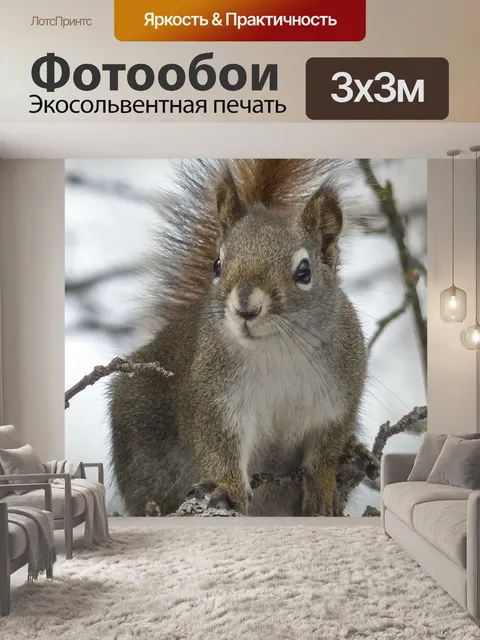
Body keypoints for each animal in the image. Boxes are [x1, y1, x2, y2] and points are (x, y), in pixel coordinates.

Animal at [108, 159, 368, 517]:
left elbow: (327, 451)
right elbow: (218, 445)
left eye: (304, 271)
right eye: (217, 265)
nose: (246, 307)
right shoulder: (215, 398)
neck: (277, 350)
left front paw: (325, 489)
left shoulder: (338, 401)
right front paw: (227, 488)